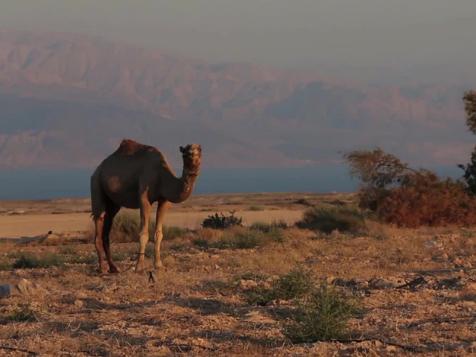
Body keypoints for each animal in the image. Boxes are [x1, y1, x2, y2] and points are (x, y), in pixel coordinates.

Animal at [90, 139, 201, 272]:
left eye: (200, 150)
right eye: (185, 153)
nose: (192, 154)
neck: (161, 175)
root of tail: (97, 170)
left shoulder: (164, 200)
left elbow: (159, 233)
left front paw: (158, 265)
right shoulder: (144, 197)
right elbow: (143, 233)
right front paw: (139, 266)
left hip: (113, 204)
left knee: (107, 227)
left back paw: (114, 268)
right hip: (96, 184)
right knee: (99, 218)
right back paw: (102, 268)